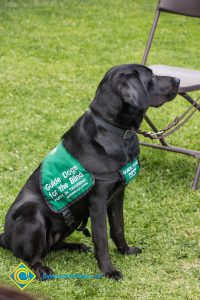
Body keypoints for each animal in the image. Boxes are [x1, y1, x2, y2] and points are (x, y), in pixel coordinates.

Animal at [0, 64, 179, 280]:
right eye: (151, 76)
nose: (178, 80)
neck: (115, 130)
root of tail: (4, 238)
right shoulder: (98, 201)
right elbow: (101, 239)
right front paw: (108, 271)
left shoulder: (118, 194)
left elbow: (118, 228)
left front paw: (125, 251)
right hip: (32, 213)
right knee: (32, 257)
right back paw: (43, 269)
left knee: (51, 247)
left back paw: (76, 246)